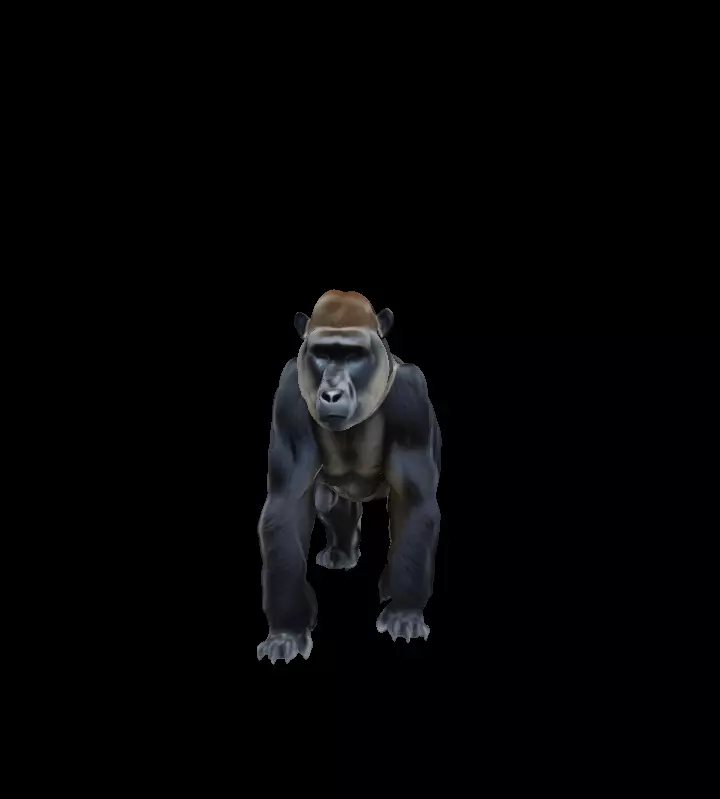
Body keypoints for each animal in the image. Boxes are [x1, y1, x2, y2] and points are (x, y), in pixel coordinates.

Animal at [256, 291, 441, 664]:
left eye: (353, 356)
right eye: (323, 354)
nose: (331, 394)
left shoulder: (412, 393)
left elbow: (413, 502)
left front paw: (404, 610)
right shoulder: (288, 392)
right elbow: (287, 504)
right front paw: (287, 629)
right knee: (331, 504)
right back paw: (341, 552)